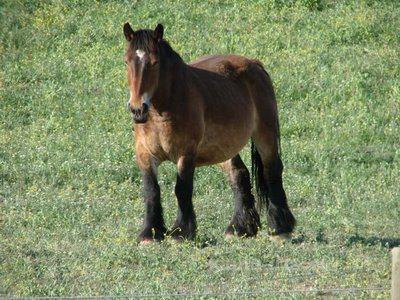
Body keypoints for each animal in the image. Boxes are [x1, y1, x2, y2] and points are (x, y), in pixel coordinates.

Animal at [123, 23, 296, 244]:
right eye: (127, 61)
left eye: (154, 63)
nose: (137, 109)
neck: (162, 111)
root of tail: (255, 64)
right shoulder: (144, 154)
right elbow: (151, 191)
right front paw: (150, 234)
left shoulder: (186, 154)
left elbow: (182, 190)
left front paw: (181, 232)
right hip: (224, 148)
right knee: (239, 174)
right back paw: (239, 228)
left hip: (265, 135)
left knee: (272, 171)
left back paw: (280, 228)